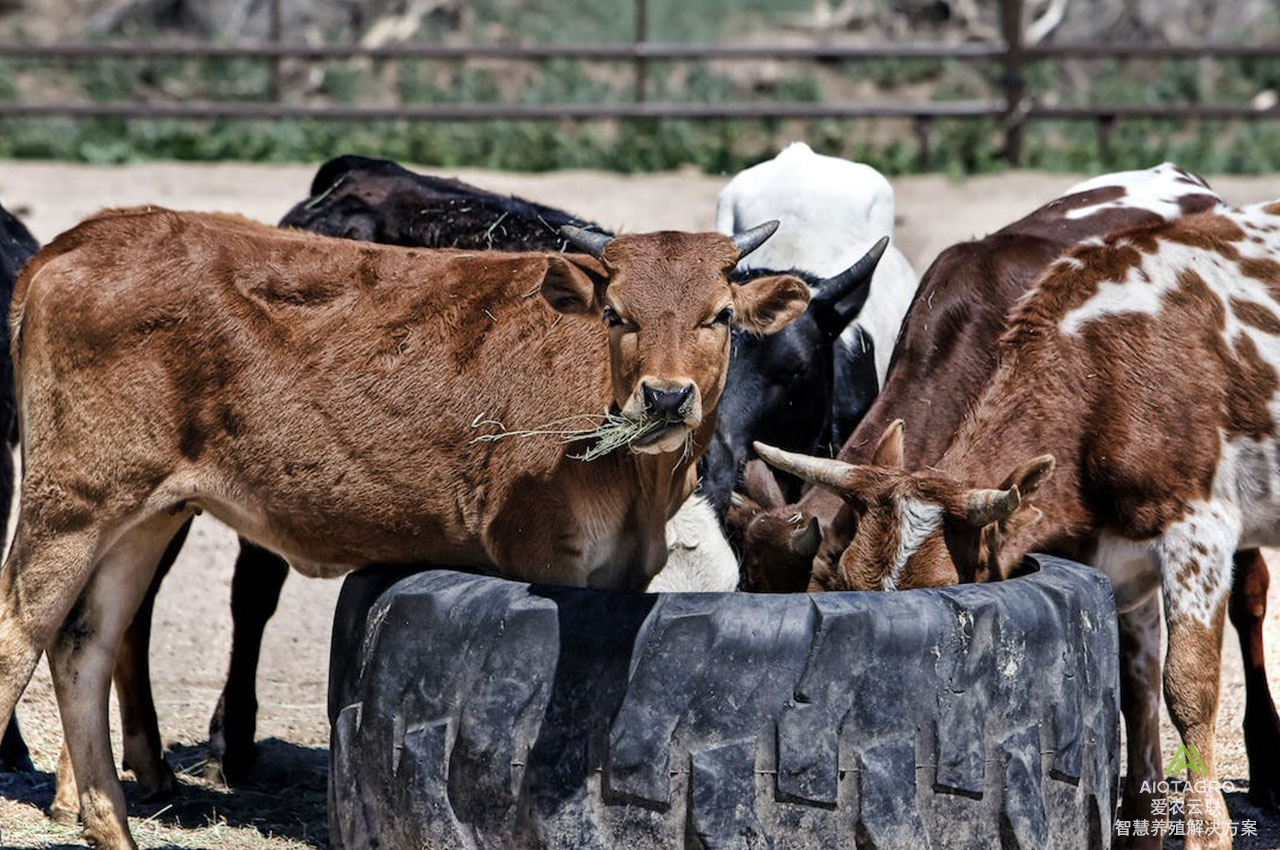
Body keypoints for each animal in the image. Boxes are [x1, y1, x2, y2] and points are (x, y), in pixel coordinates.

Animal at [752, 200, 1280, 850]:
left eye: (943, 595)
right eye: (848, 587)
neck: (1101, 375)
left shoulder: (1197, 534)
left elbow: (1187, 689)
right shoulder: (1121, 563)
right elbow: (1135, 689)